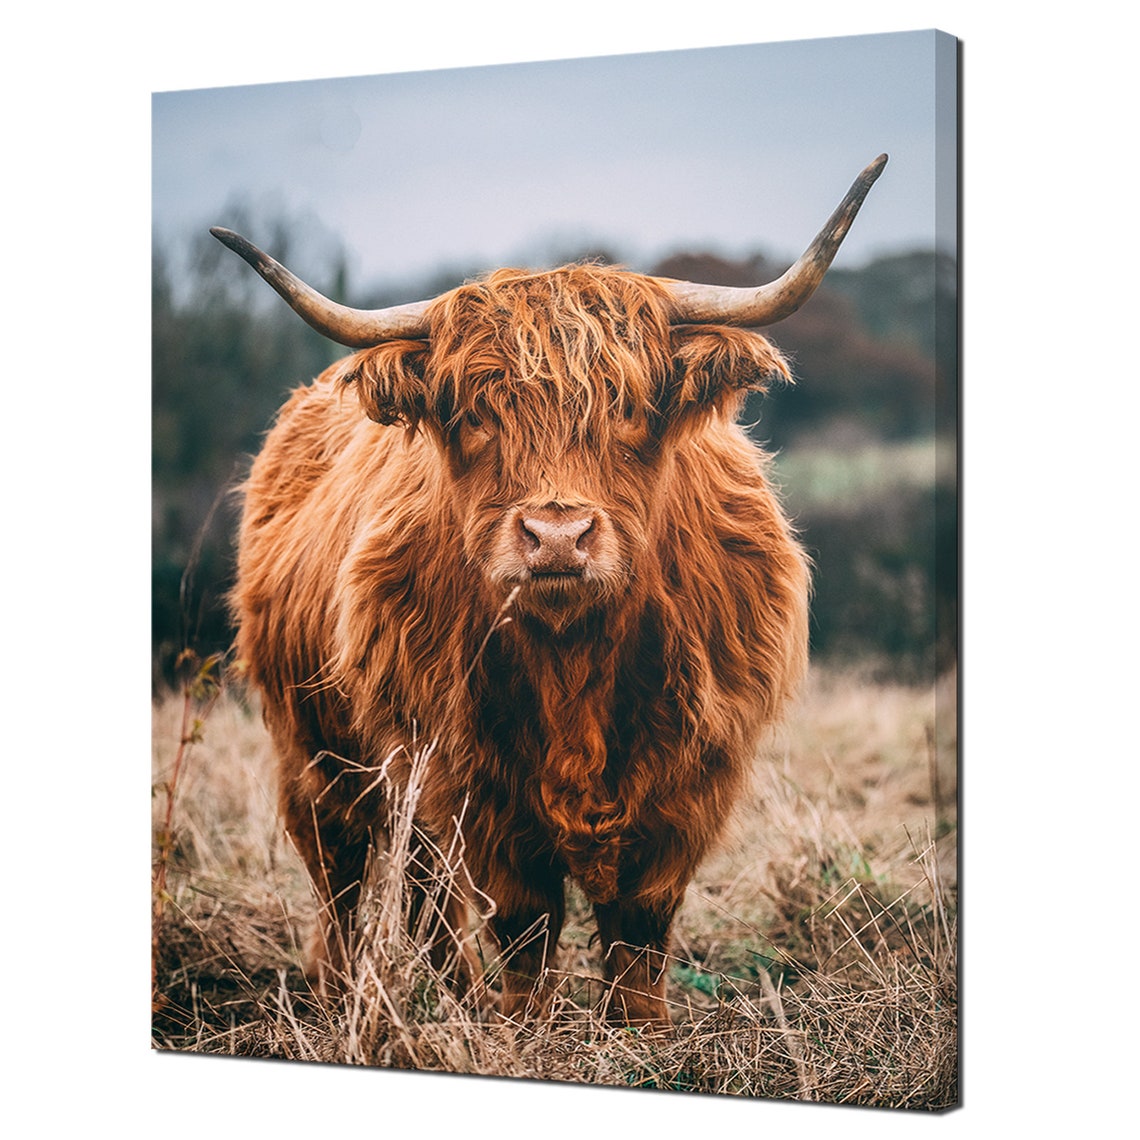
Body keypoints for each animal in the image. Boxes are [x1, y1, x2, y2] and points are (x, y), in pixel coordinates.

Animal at [215, 155, 887, 1026]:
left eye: (631, 407)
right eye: (475, 416)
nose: (558, 536)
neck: (575, 659)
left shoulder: (689, 778)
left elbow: (641, 921)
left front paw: (642, 1031)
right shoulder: (473, 777)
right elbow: (524, 919)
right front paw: (523, 1026)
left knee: (422, 890)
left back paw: (450, 991)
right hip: (315, 749)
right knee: (343, 874)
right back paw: (343, 994)